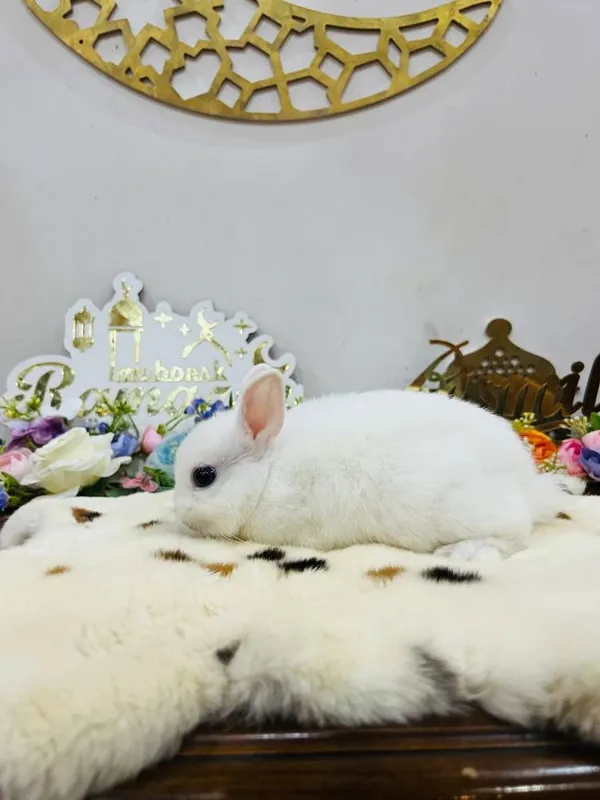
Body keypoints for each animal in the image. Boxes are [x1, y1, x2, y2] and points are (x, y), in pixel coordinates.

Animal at [173, 364, 586, 561]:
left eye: (203, 476)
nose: (179, 513)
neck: (269, 468)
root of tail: (528, 484)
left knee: (514, 537)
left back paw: (462, 553)